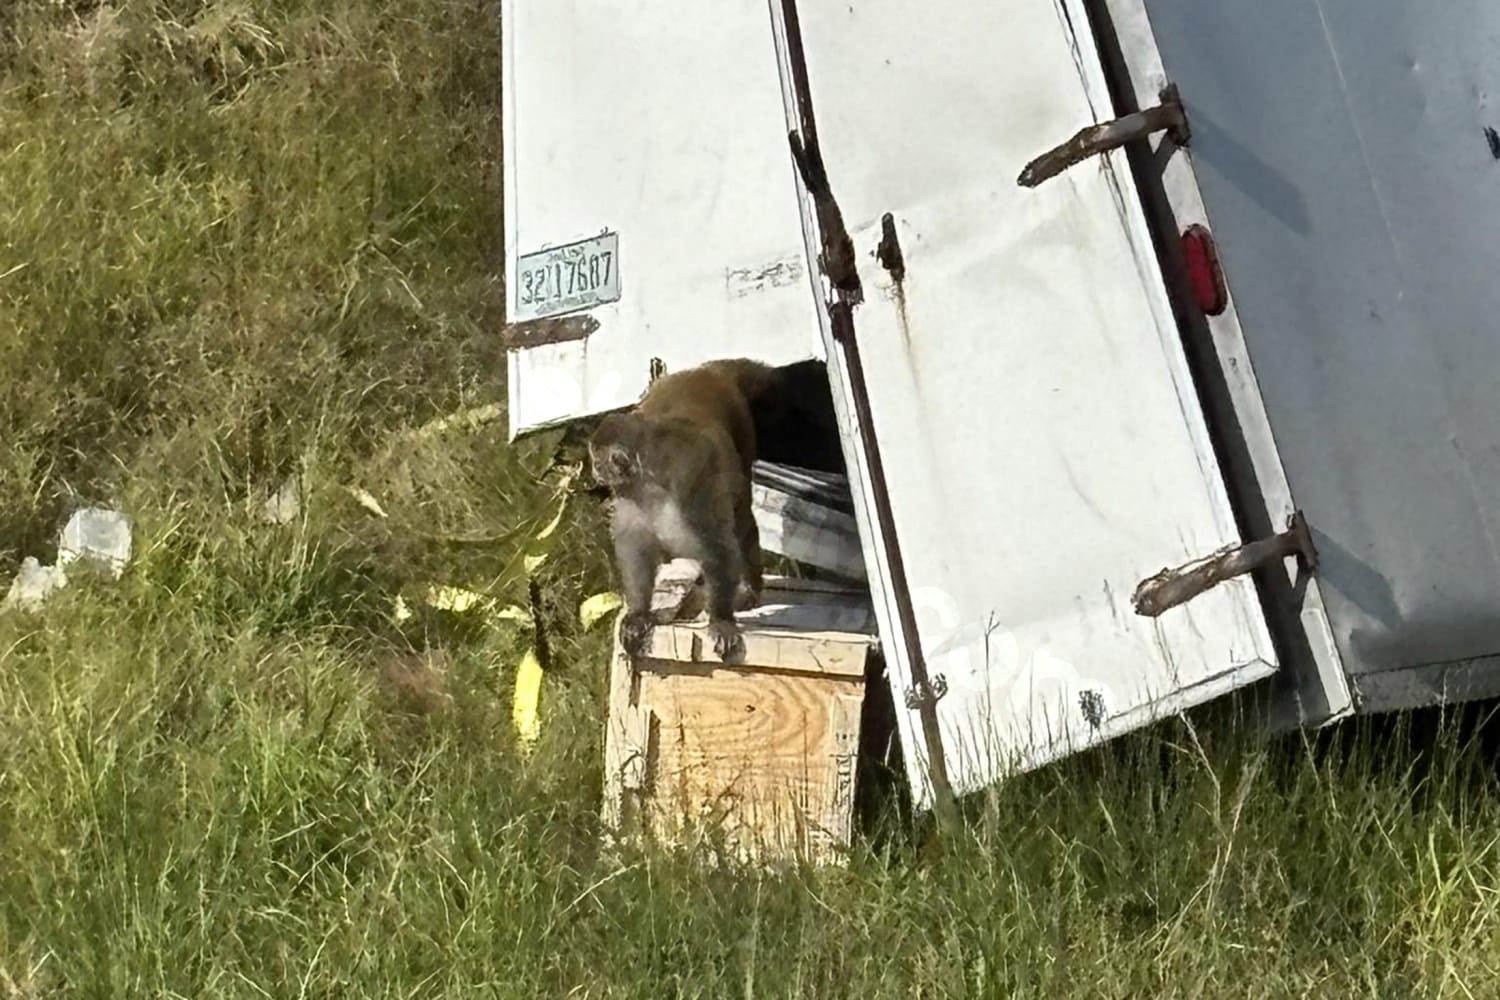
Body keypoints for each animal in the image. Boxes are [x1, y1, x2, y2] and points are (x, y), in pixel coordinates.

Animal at [589, 359, 778, 660]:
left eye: (598, 461)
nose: (594, 471)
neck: (650, 479)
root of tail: (705, 371)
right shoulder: (630, 497)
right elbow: (636, 550)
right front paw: (639, 613)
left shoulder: (689, 486)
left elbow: (718, 546)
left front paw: (721, 620)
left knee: (741, 517)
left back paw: (749, 589)